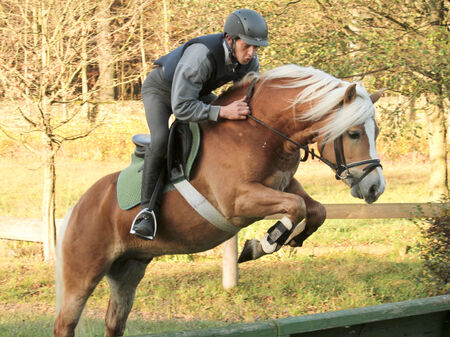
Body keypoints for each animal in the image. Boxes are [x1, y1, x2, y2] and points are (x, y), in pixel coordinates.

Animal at [54, 64, 386, 334]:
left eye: (377, 131)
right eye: (354, 134)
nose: (375, 188)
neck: (257, 132)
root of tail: (76, 209)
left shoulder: (285, 184)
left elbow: (315, 209)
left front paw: (291, 239)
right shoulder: (237, 201)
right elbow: (297, 207)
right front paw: (262, 244)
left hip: (128, 271)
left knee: (115, 321)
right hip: (83, 274)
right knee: (65, 323)